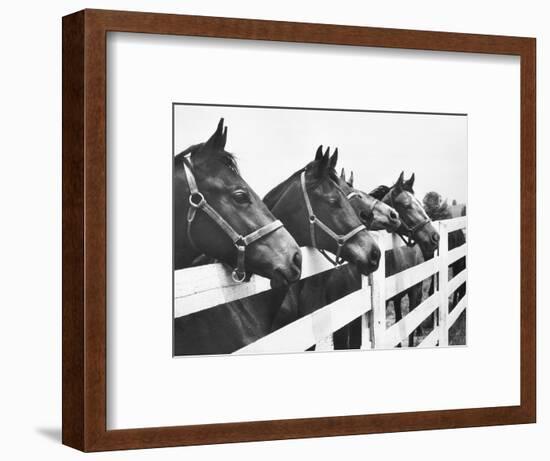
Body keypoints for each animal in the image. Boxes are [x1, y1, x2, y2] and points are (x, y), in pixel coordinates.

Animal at [370, 172, 444, 344]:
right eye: (406, 205)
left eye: (421, 204)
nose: (435, 237)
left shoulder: (413, 291)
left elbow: (410, 324)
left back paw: (420, 330)